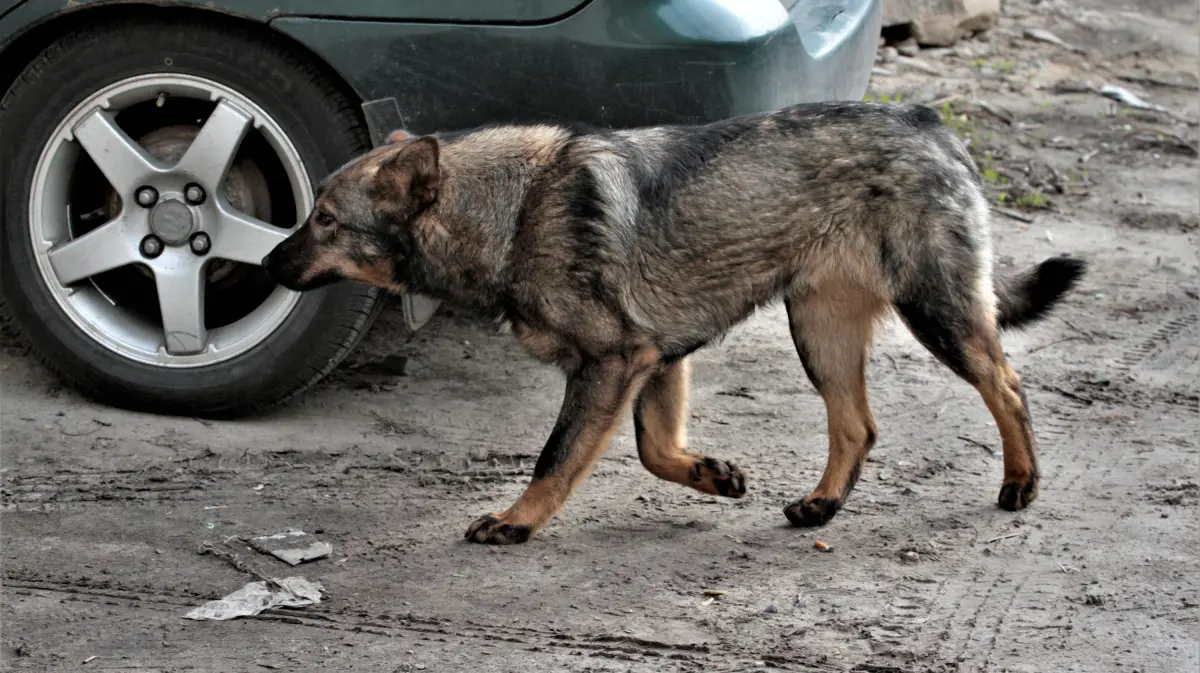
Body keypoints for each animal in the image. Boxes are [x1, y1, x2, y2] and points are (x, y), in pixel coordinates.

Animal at [262, 104, 1089, 547]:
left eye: (325, 219)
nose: (267, 260)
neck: (514, 208)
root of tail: (927, 122)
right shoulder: (657, 360)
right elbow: (655, 450)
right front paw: (711, 474)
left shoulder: (615, 361)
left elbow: (555, 457)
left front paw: (516, 520)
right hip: (818, 331)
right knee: (857, 424)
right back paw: (821, 504)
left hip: (935, 312)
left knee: (1006, 384)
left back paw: (1021, 481)